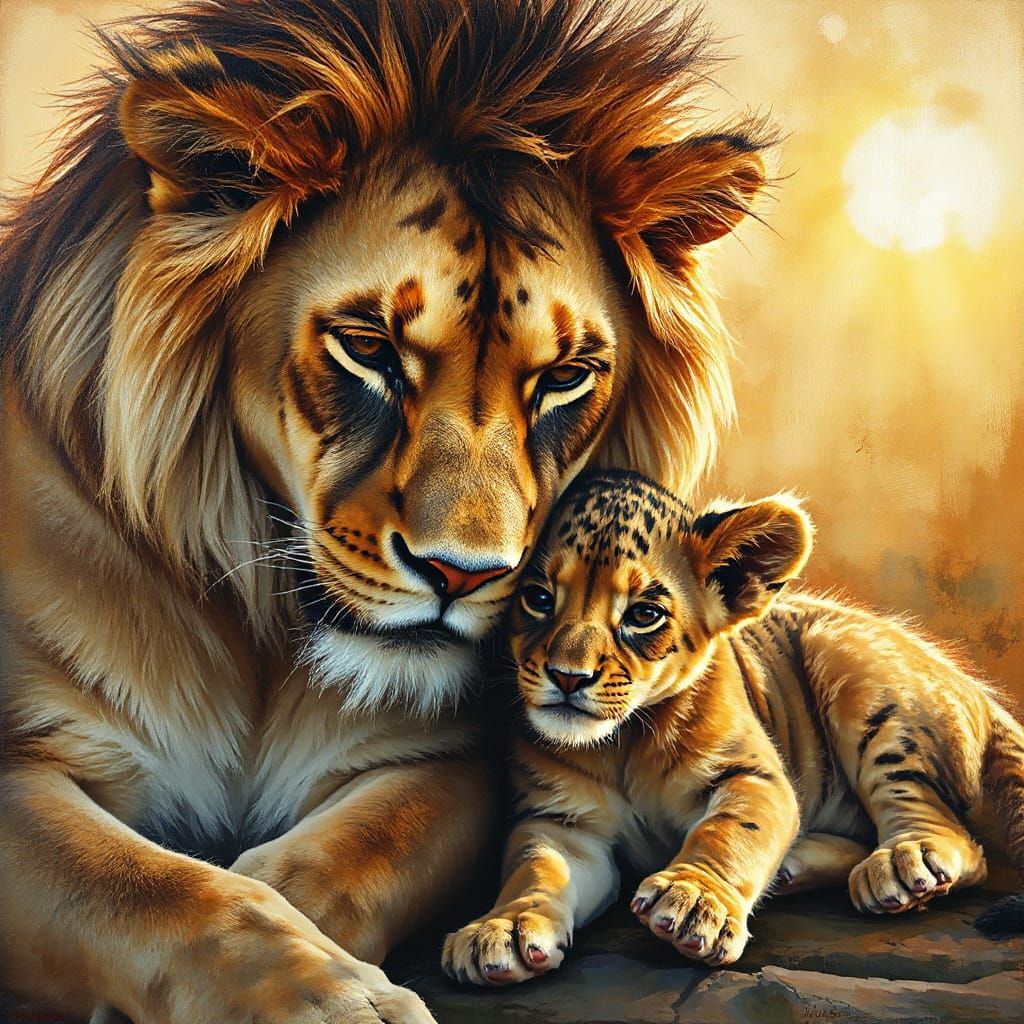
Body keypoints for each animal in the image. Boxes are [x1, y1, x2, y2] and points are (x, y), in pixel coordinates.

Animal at [0, 2, 768, 1021]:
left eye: (566, 376)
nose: (462, 575)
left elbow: (323, 868)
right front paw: (332, 999)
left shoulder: (448, 760)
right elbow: (163, 891)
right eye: (368, 348)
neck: (261, 639)